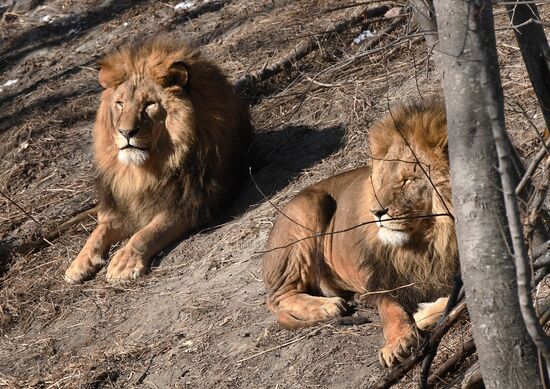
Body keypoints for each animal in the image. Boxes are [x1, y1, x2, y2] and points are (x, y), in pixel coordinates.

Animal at [64, 38, 252, 282]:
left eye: (149, 104)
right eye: (120, 103)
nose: (126, 132)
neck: (143, 171)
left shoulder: (189, 204)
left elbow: (147, 233)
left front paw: (124, 263)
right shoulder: (125, 206)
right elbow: (99, 231)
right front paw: (79, 263)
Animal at [260, 101, 460, 366]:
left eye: (408, 180)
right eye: (381, 180)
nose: (376, 211)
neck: (428, 242)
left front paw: (423, 315)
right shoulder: (381, 278)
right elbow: (390, 309)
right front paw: (397, 343)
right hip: (308, 211)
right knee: (277, 297)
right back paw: (329, 306)